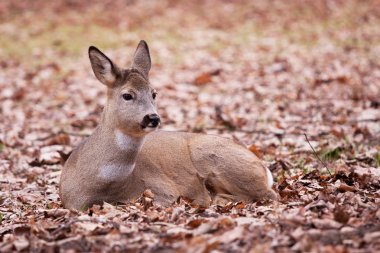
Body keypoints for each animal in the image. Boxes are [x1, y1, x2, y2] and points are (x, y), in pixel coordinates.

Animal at [60, 40, 280, 210]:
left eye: (154, 93)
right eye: (127, 95)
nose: (153, 118)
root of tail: (263, 167)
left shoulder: (163, 191)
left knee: (269, 194)